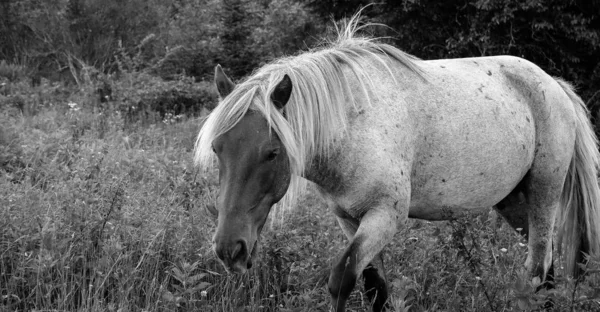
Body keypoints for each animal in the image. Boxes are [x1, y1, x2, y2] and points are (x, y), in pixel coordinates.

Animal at [193, 16, 600, 312]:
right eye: (217, 149)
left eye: (272, 153)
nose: (229, 250)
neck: (353, 123)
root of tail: (553, 84)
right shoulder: (348, 219)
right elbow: (376, 288)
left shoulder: (384, 216)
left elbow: (341, 280)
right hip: (513, 201)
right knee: (546, 265)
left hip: (544, 191)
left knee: (537, 265)